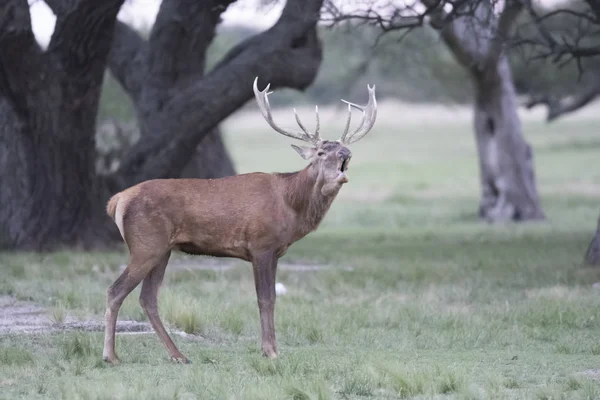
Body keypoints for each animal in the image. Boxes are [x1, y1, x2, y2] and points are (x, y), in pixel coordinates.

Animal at [101, 76, 378, 364]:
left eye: (343, 149)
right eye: (322, 152)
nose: (345, 154)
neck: (290, 206)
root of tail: (117, 200)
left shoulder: (275, 252)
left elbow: (272, 298)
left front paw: (272, 348)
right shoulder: (260, 245)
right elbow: (264, 299)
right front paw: (270, 351)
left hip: (162, 249)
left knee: (148, 297)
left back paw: (178, 355)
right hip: (145, 245)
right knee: (115, 290)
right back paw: (111, 355)